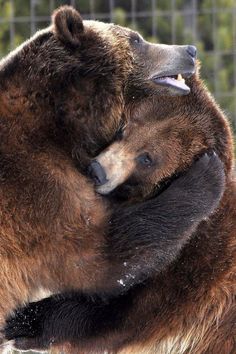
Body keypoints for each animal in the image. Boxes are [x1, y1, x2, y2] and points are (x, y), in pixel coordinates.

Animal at [0, 3, 223, 334]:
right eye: (136, 39)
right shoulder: (34, 185)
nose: (189, 50)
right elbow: (101, 254)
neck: (61, 124)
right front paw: (206, 174)